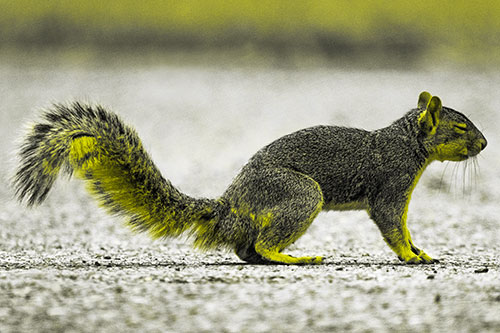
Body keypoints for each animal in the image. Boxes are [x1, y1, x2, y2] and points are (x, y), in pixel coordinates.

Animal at [13, 91, 486, 264]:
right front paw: (411, 256)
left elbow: (402, 226)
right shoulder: (392, 183)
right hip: (300, 194)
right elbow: (391, 225)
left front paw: (420, 250)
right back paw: (293, 258)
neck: (409, 144)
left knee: (246, 250)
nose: (483, 144)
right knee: (260, 244)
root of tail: (229, 206)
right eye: (459, 127)